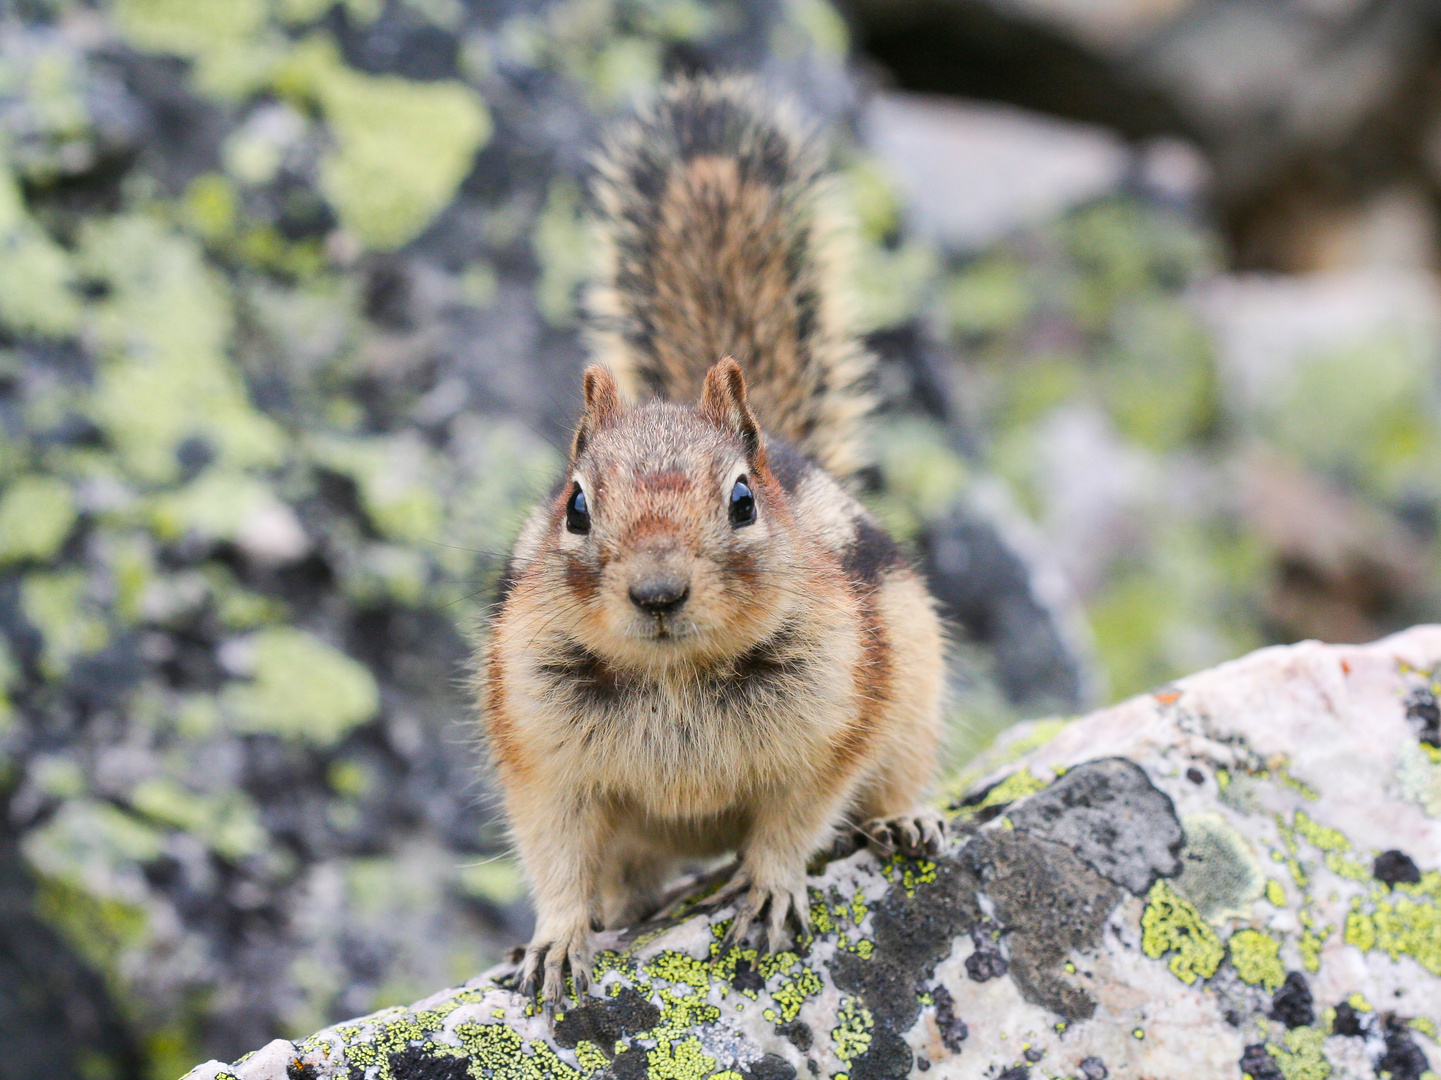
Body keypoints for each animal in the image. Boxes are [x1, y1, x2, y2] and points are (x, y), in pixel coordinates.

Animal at [481, 77, 945, 1009]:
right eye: (574, 508)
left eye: (740, 500)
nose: (658, 592)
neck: (675, 676)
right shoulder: (539, 753)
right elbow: (554, 852)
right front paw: (555, 939)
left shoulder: (830, 723)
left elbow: (796, 819)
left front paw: (768, 889)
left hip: (912, 705)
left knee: (895, 779)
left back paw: (905, 819)